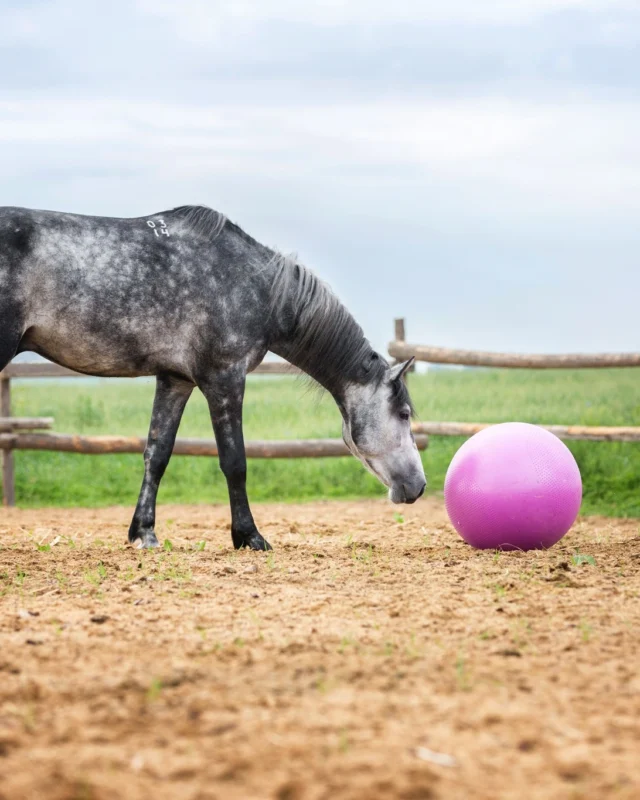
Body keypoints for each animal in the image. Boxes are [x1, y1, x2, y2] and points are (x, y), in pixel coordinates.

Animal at [0, 204, 426, 550]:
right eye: (404, 414)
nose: (420, 486)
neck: (256, 285)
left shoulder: (175, 379)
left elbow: (157, 454)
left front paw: (144, 533)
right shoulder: (225, 379)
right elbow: (234, 461)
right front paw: (249, 536)